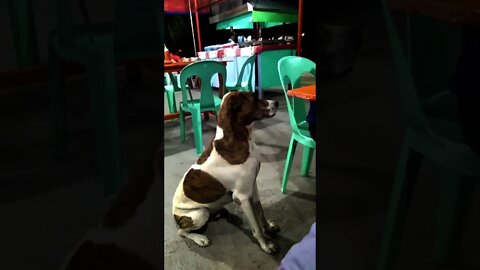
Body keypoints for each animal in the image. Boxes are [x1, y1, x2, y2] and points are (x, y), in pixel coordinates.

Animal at [171, 90, 280, 253]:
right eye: (254, 99)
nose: (277, 103)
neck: (240, 140)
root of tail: (174, 216)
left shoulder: (252, 186)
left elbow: (260, 211)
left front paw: (268, 227)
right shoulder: (242, 196)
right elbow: (256, 227)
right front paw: (266, 244)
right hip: (199, 214)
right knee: (182, 231)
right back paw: (199, 238)